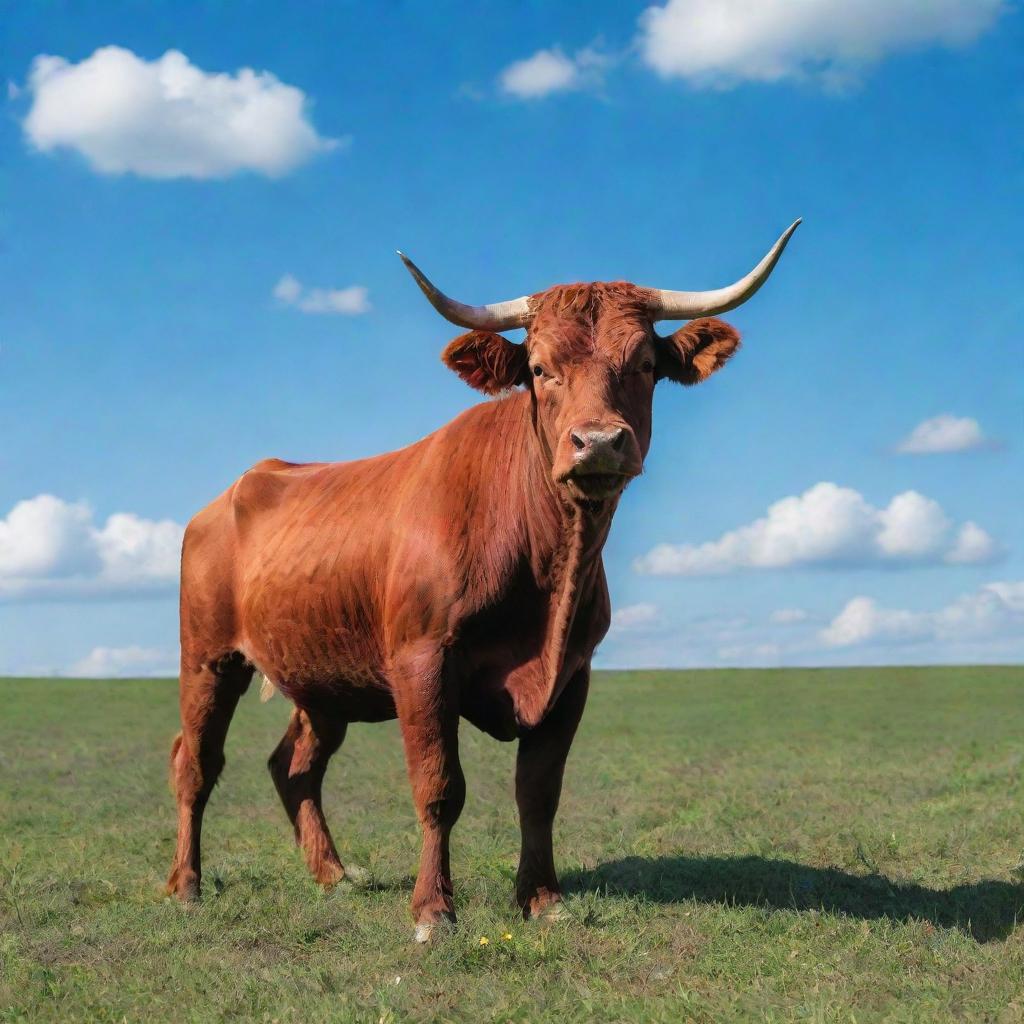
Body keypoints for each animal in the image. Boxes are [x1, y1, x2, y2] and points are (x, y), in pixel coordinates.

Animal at [165, 220, 798, 937]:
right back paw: (186, 884)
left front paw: (543, 898)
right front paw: (433, 910)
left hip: (323, 677)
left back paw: (333, 875)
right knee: (196, 762)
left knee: (294, 766)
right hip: (209, 657)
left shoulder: (572, 674)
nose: (598, 443)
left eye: (643, 365)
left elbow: (539, 791)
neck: (545, 570)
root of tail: (239, 486)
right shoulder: (422, 662)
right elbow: (440, 787)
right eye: (540, 369)